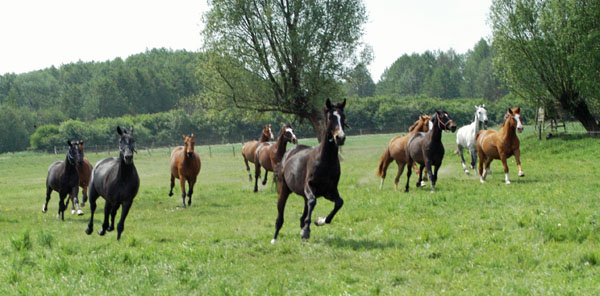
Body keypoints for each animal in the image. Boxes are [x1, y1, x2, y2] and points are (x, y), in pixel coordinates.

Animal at [272, 99, 346, 243]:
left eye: (343, 116)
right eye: (330, 117)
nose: (340, 137)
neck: (325, 160)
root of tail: (288, 153)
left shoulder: (329, 191)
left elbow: (339, 203)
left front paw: (319, 221)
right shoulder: (310, 186)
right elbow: (313, 201)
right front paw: (306, 231)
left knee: (303, 215)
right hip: (283, 190)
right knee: (280, 215)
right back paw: (274, 239)